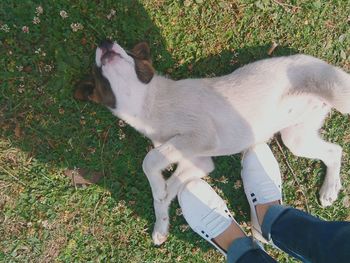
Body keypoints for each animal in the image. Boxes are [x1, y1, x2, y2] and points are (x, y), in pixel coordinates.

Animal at [74, 40, 350, 246]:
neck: (149, 104)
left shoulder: (200, 136)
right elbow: (169, 189)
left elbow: (149, 160)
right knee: (334, 150)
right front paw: (161, 223)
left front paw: (157, 187)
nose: (104, 41)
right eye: (97, 72)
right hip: (296, 138)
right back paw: (329, 189)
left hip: (334, 91)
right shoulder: (199, 161)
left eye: (129, 53)